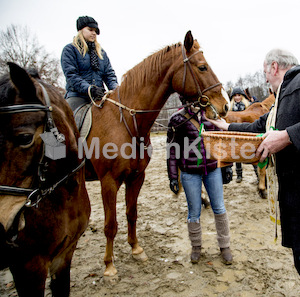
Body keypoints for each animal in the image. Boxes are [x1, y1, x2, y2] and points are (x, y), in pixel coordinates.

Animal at [84, 30, 230, 276]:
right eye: (202, 67)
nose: (224, 106)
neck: (125, 123)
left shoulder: (136, 177)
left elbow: (131, 214)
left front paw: (136, 249)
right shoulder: (109, 182)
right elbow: (110, 225)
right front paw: (109, 266)